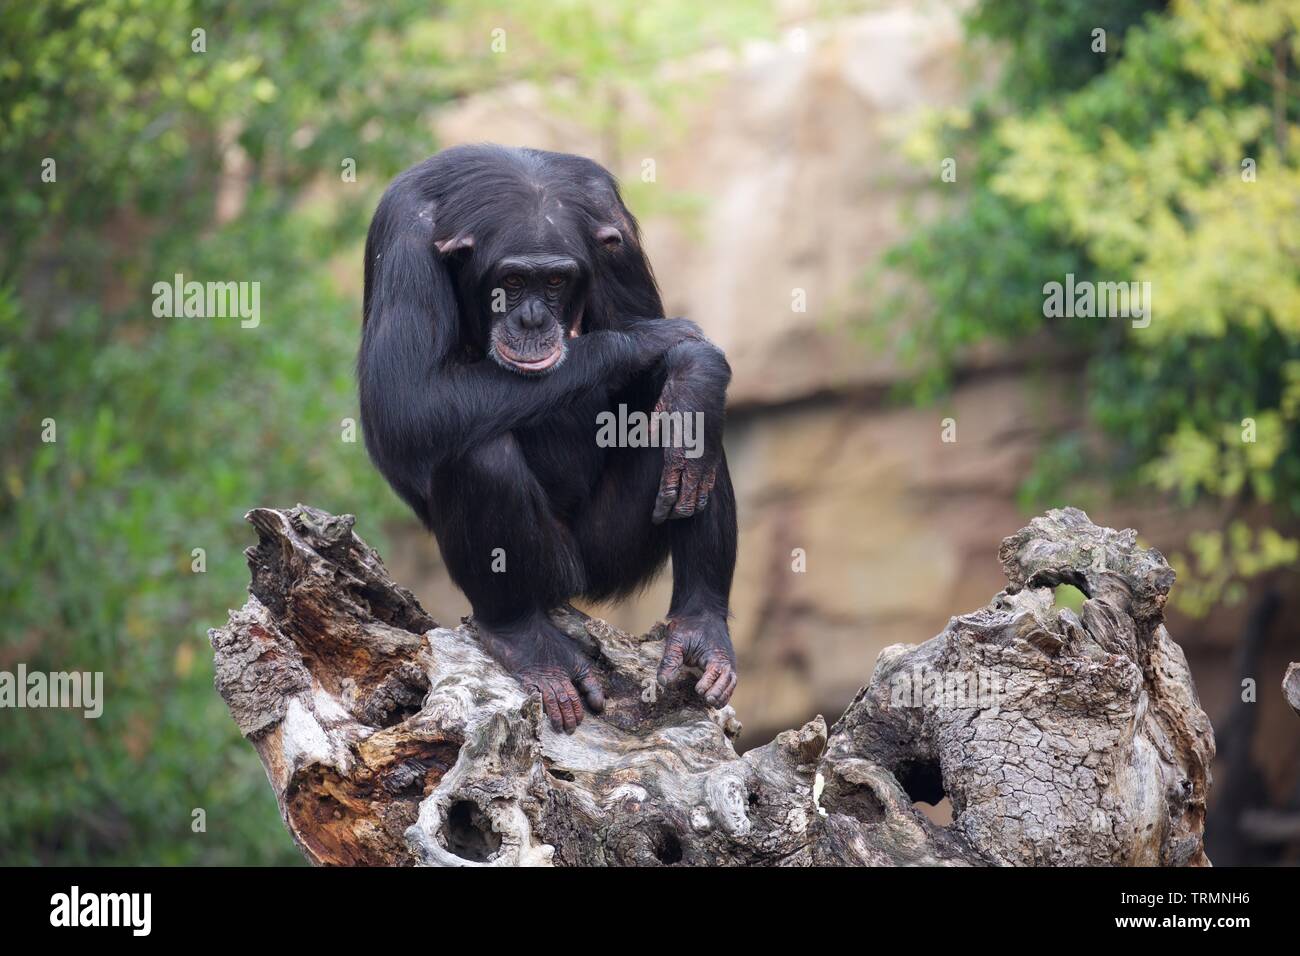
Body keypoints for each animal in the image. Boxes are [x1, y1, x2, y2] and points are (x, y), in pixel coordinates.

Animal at [361, 145, 738, 733]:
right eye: (513, 282)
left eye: (556, 283)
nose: (534, 319)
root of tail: (574, 584)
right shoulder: (404, 236)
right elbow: (404, 403)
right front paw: (655, 340)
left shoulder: (616, 228)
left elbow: (661, 389)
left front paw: (697, 369)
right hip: (552, 568)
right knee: (476, 451)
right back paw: (522, 639)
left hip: (609, 555)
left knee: (698, 431)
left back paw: (701, 626)